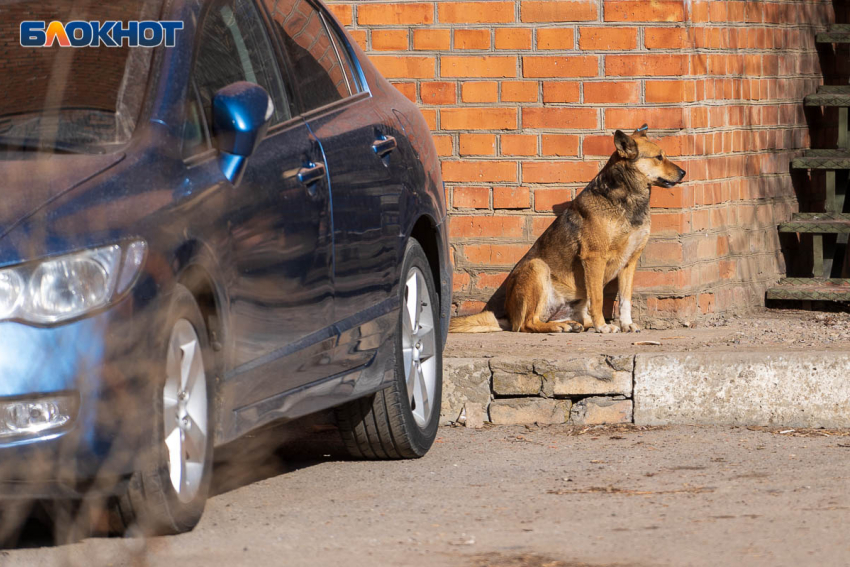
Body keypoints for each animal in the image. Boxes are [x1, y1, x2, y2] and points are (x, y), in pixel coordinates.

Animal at [450, 126, 684, 336]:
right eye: (659, 157)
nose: (684, 172)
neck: (629, 199)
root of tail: (508, 316)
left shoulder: (629, 262)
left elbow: (625, 300)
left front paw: (627, 324)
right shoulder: (594, 258)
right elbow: (598, 298)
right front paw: (604, 327)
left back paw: (571, 324)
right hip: (537, 267)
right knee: (527, 323)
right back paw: (559, 327)